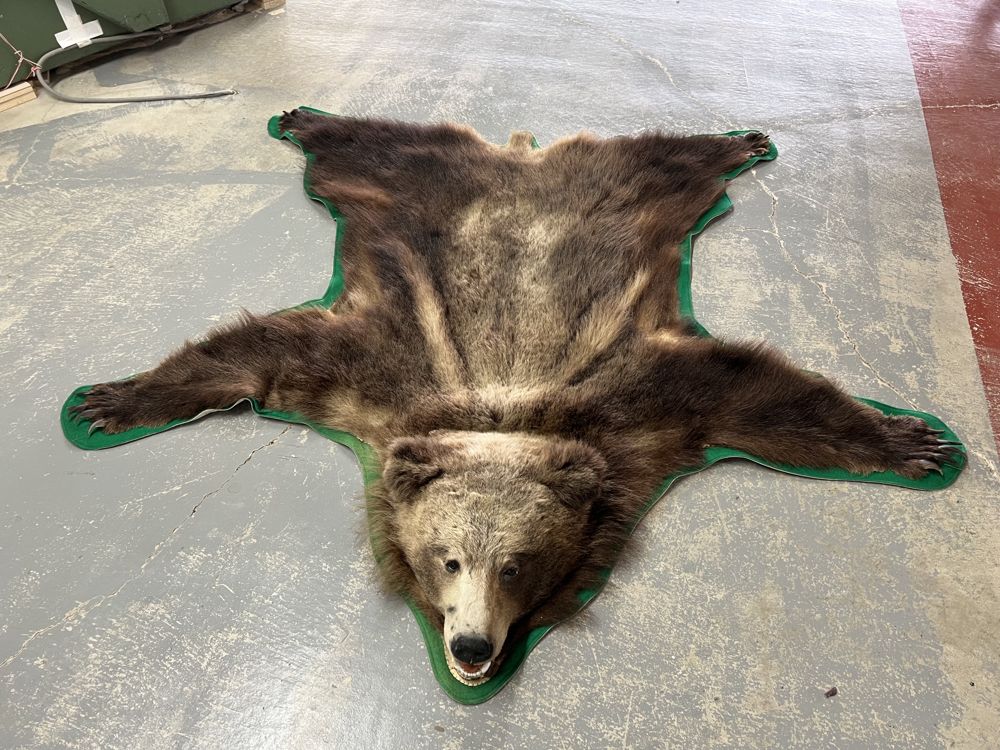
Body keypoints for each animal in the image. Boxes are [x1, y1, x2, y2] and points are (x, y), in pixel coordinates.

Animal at [71, 109, 959, 686]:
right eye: (447, 557)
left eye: (517, 564)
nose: (469, 648)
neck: (501, 411)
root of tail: (523, 156)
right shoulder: (376, 372)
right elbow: (260, 352)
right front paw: (107, 400)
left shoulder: (644, 405)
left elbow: (764, 394)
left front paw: (914, 442)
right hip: (401, 184)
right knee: (365, 147)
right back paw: (303, 115)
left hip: (640, 192)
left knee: (673, 158)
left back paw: (739, 138)